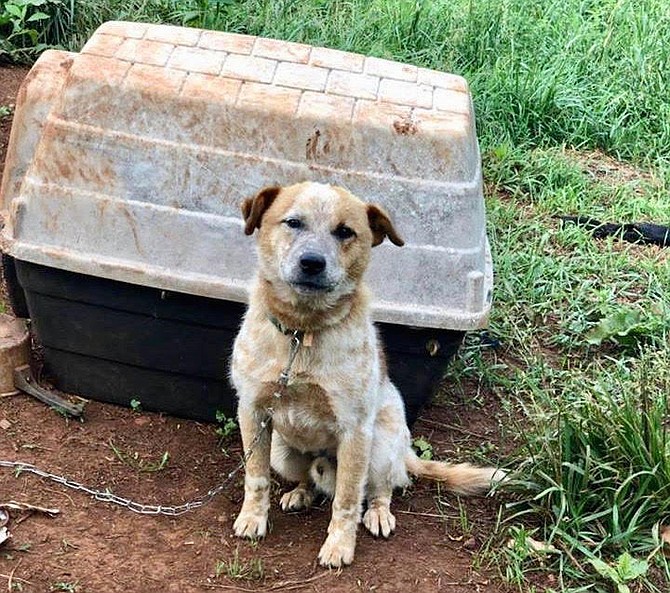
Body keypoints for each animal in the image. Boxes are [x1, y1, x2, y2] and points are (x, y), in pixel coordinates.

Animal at [231, 182, 504, 568]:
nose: (312, 263)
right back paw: (301, 492)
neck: (303, 332)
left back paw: (378, 513)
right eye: (293, 222)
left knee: (380, 488)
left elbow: (347, 501)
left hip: (381, 447)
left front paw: (339, 546)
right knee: (309, 479)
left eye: (345, 231)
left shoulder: (355, 430)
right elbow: (256, 477)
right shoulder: (253, 412)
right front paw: (253, 518)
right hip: (282, 453)